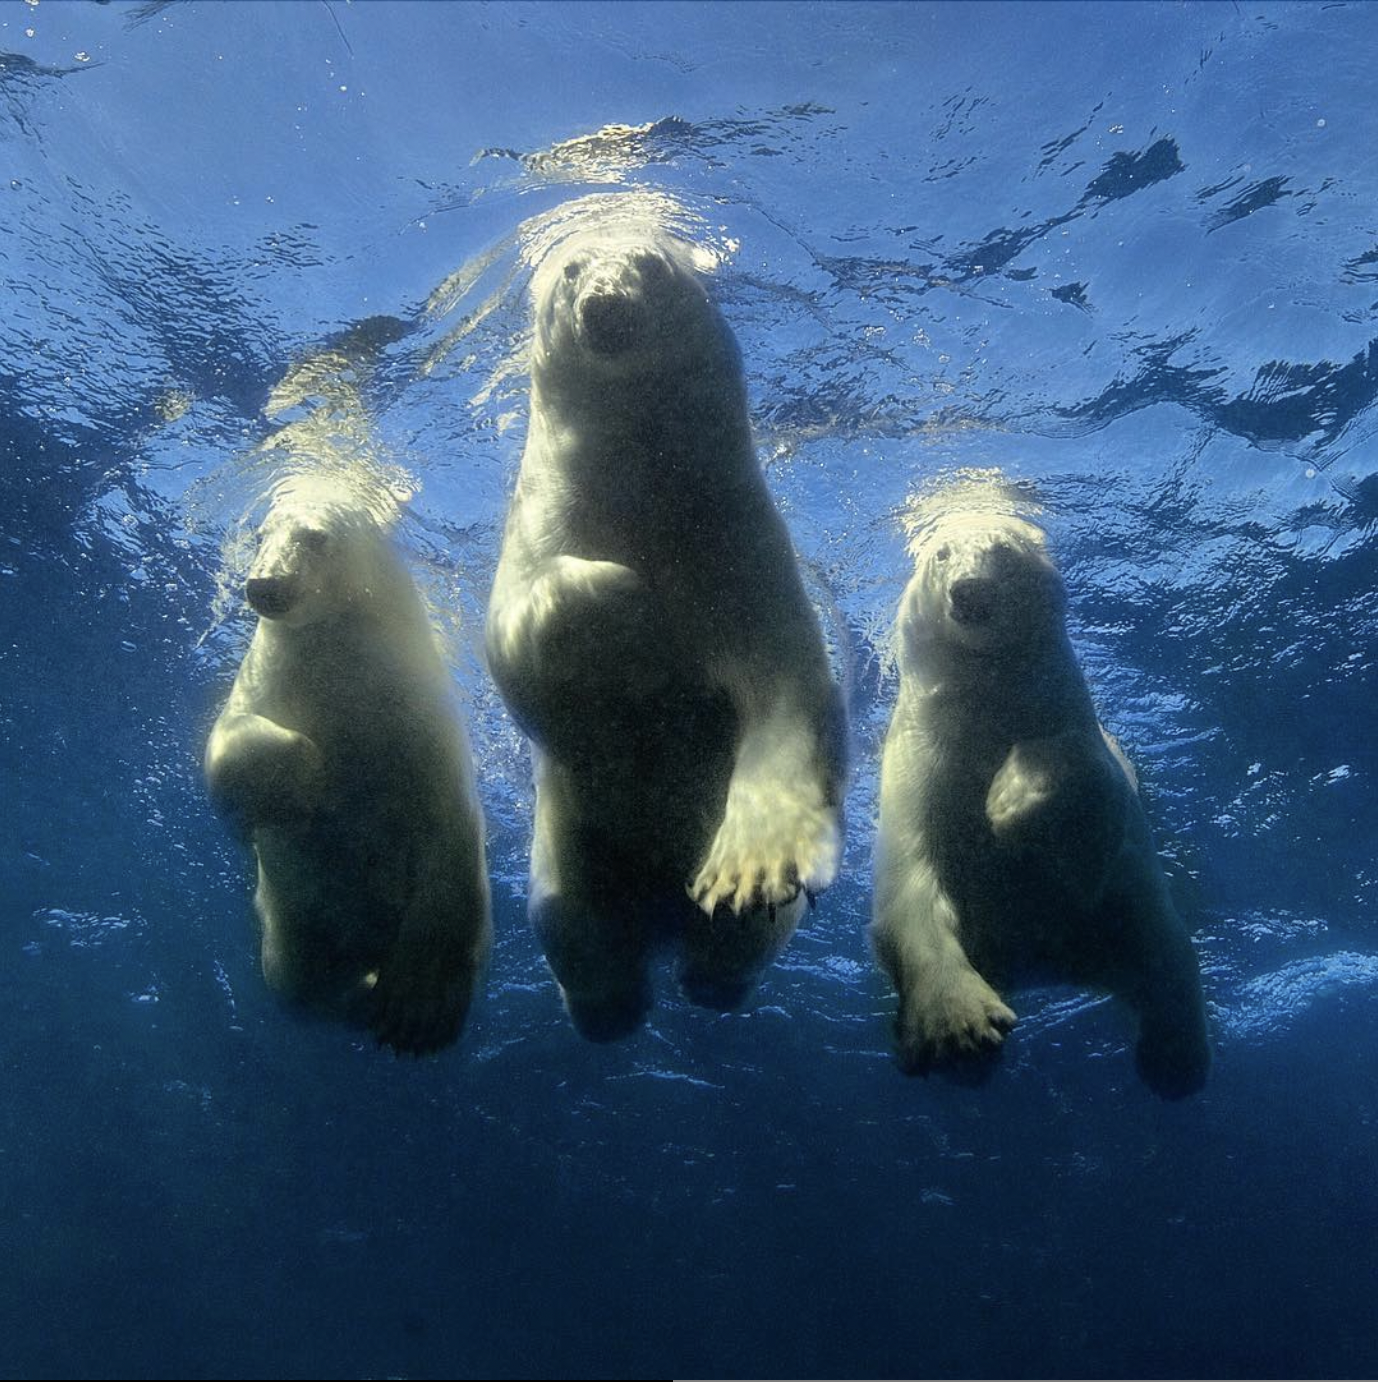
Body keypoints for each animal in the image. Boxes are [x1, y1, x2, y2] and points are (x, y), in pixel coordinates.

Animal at [201, 475, 486, 1055]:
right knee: (302, 986)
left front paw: (421, 1009)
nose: (263, 584)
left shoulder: (426, 730)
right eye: (260, 533)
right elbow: (227, 749)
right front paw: (307, 779)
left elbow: (448, 850)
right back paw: (365, 996)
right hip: (293, 928)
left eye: (315, 537)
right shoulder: (270, 680)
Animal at [483, 232, 851, 1039]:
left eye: (651, 265)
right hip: (569, 853)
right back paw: (613, 1005)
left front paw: (748, 868)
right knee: (573, 928)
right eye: (570, 269)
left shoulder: (739, 546)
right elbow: (519, 640)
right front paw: (636, 610)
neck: (647, 490)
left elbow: (788, 692)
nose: (605, 304)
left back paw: (710, 974)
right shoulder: (544, 522)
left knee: (736, 946)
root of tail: (656, 920)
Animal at [873, 503, 1205, 1094]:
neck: (986, 697)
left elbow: (1086, 837)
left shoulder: (1065, 720)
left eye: (1003, 550)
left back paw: (1174, 1061)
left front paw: (1010, 795)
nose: (969, 590)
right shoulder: (918, 762)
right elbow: (909, 887)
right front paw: (962, 1024)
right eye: (942, 554)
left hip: (1126, 920)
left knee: (1166, 962)